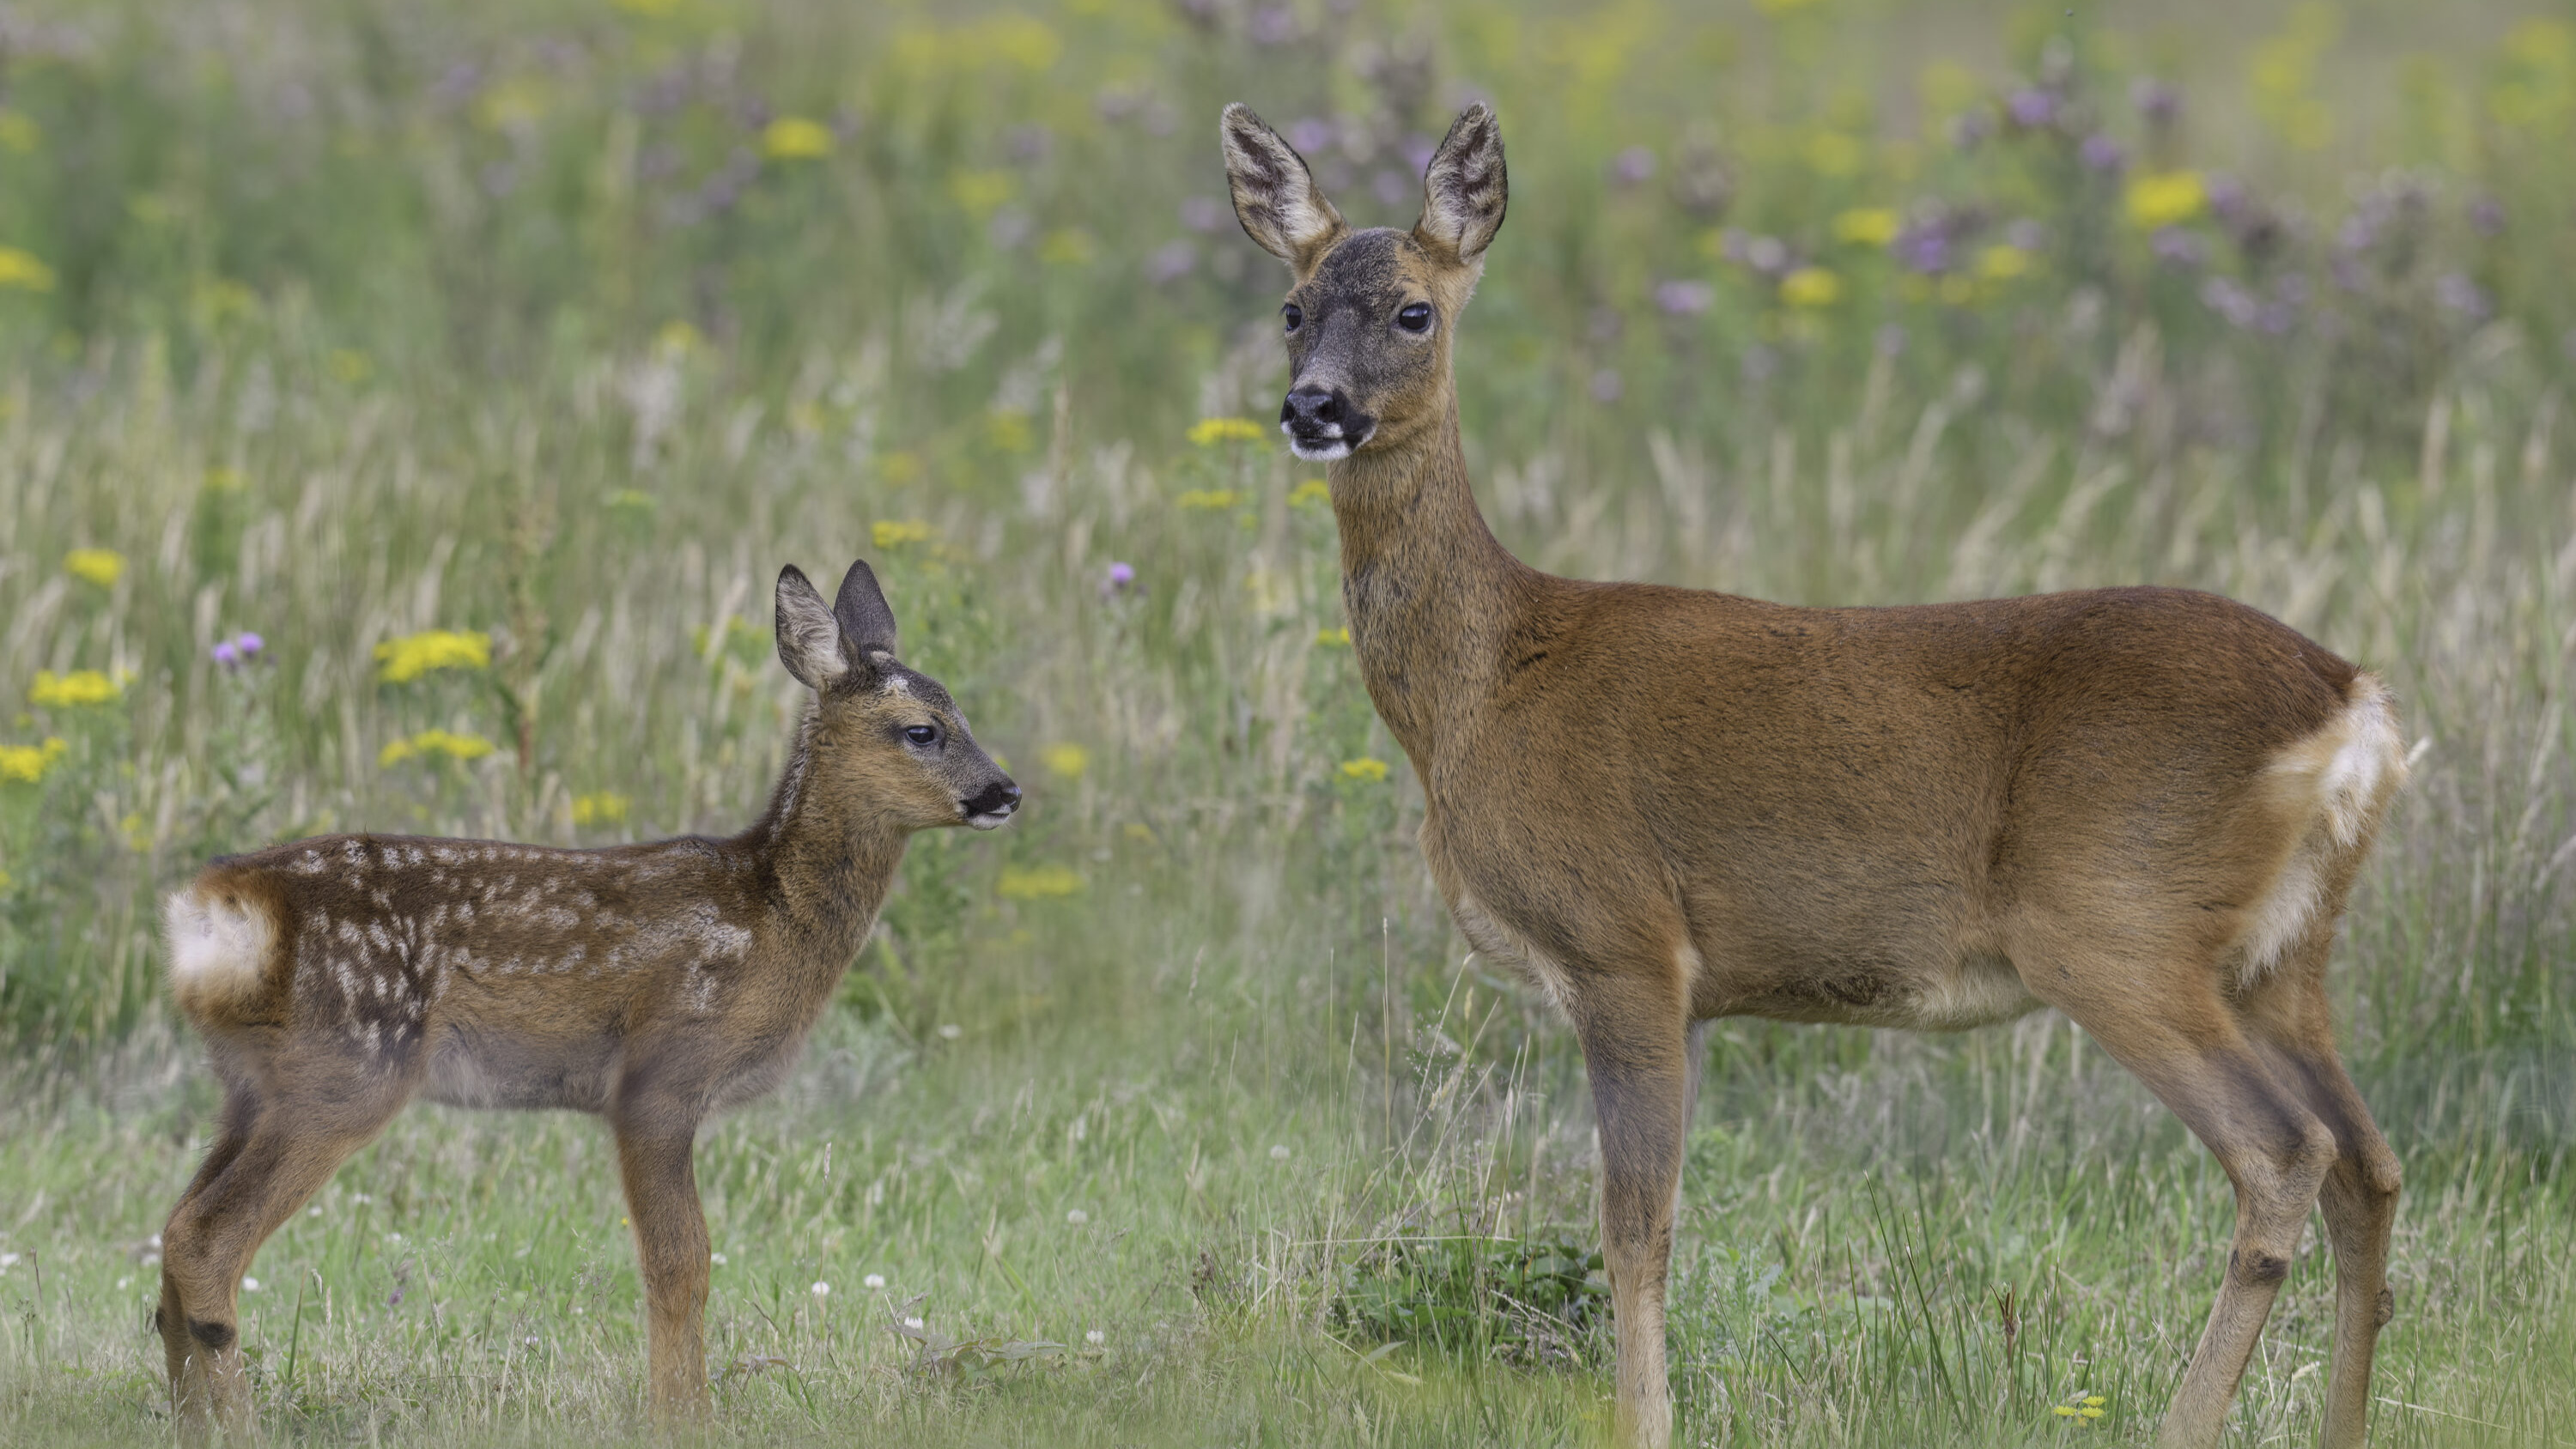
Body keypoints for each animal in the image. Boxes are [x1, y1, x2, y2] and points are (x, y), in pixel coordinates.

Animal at [153, 558, 1020, 1441]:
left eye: (963, 715)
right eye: (922, 730)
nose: (1005, 791)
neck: (770, 914)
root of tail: (217, 911)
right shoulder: (659, 1076)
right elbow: (681, 1264)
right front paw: (682, 1423)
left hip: (252, 1084)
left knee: (171, 1241)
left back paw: (189, 1423)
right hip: (347, 1068)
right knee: (204, 1239)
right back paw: (238, 1427)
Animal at [1222, 102, 2407, 1449]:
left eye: (1415, 310)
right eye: (1293, 308)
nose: (1313, 406)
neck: (1480, 689)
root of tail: (2354, 705)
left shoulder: (1622, 941)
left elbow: (1636, 1230)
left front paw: (1644, 1422)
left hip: (2117, 921)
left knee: (2284, 1155)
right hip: (2282, 954)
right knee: (2369, 1165)